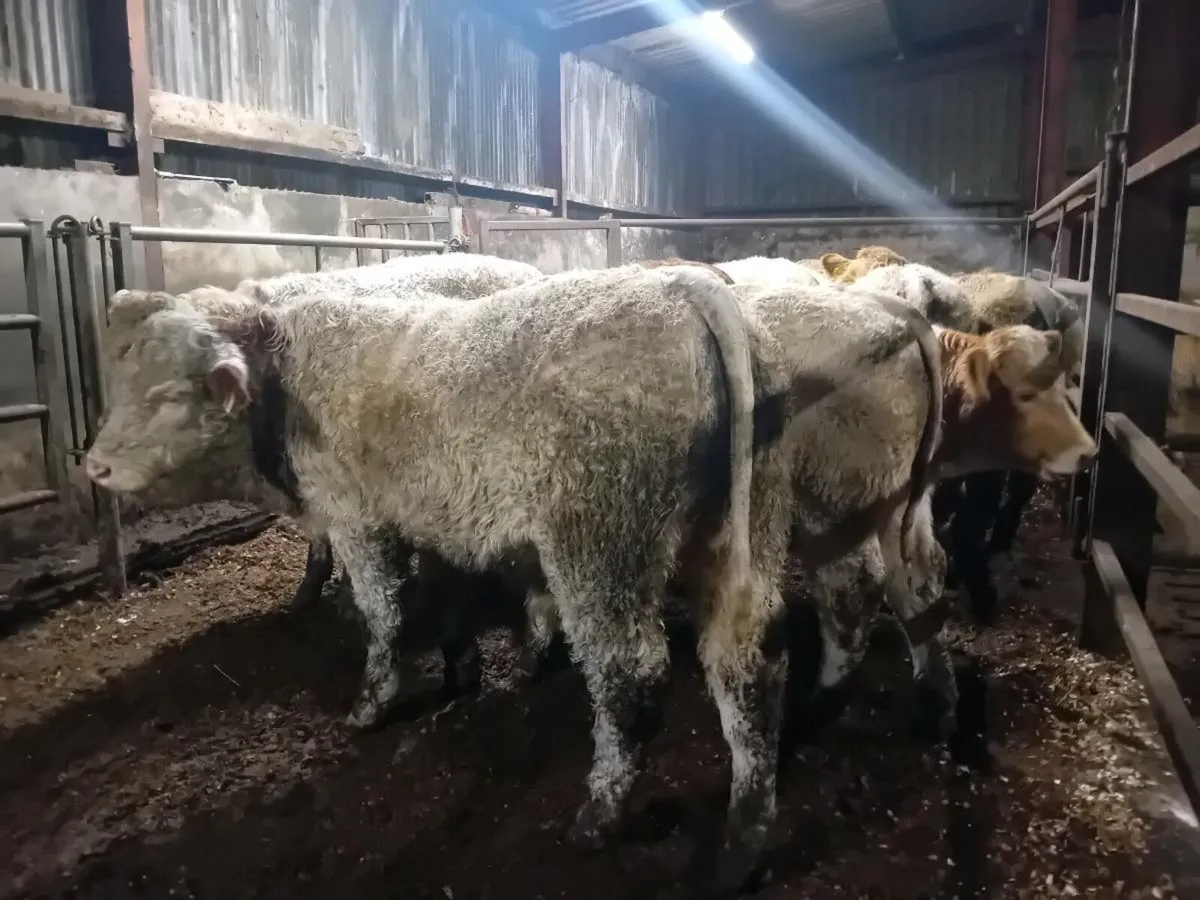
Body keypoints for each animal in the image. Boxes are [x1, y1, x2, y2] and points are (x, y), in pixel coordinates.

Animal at [83, 265, 786, 887]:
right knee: (745, 660)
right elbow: (448, 598)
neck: (286, 366)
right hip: (741, 537)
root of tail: (674, 286)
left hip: (599, 547)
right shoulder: (437, 518)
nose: (94, 467)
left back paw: (600, 813)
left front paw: (372, 702)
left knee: (629, 675)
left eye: (168, 395)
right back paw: (745, 837)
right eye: (115, 382)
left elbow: (383, 613)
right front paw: (461, 670)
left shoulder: (358, 519)